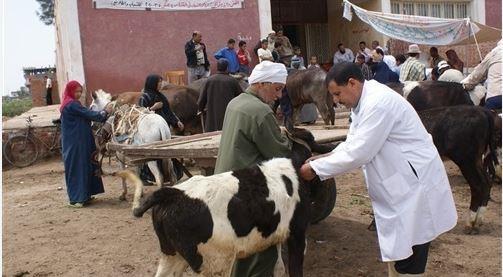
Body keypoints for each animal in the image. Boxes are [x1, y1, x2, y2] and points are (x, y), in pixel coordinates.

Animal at [133, 129, 334, 276]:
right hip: (215, 263)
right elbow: (294, 268)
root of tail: (173, 193)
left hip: (171, 255)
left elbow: (278, 266)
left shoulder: (277, 233)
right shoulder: (297, 232)